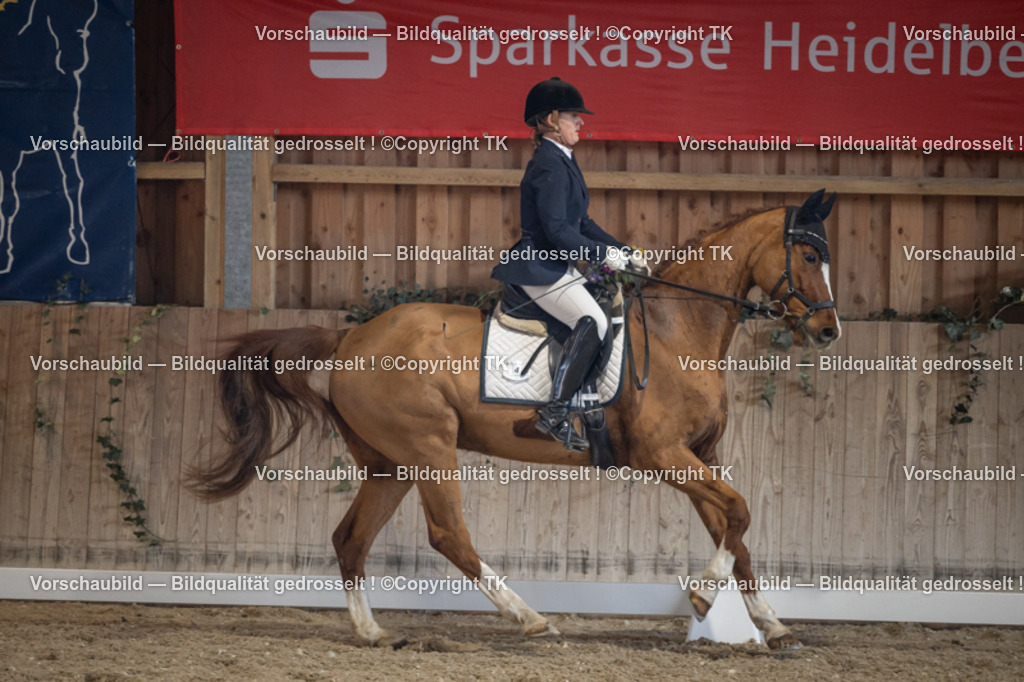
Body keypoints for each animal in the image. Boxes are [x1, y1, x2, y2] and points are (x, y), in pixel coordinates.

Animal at [189, 189, 840, 650]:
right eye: (809, 255)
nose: (829, 330)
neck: (679, 332)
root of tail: (351, 336)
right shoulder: (662, 456)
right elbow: (741, 512)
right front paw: (704, 598)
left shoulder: (700, 456)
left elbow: (737, 531)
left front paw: (772, 624)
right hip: (429, 448)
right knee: (449, 535)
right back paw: (530, 619)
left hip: (391, 464)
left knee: (351, 539)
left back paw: (373, 632)